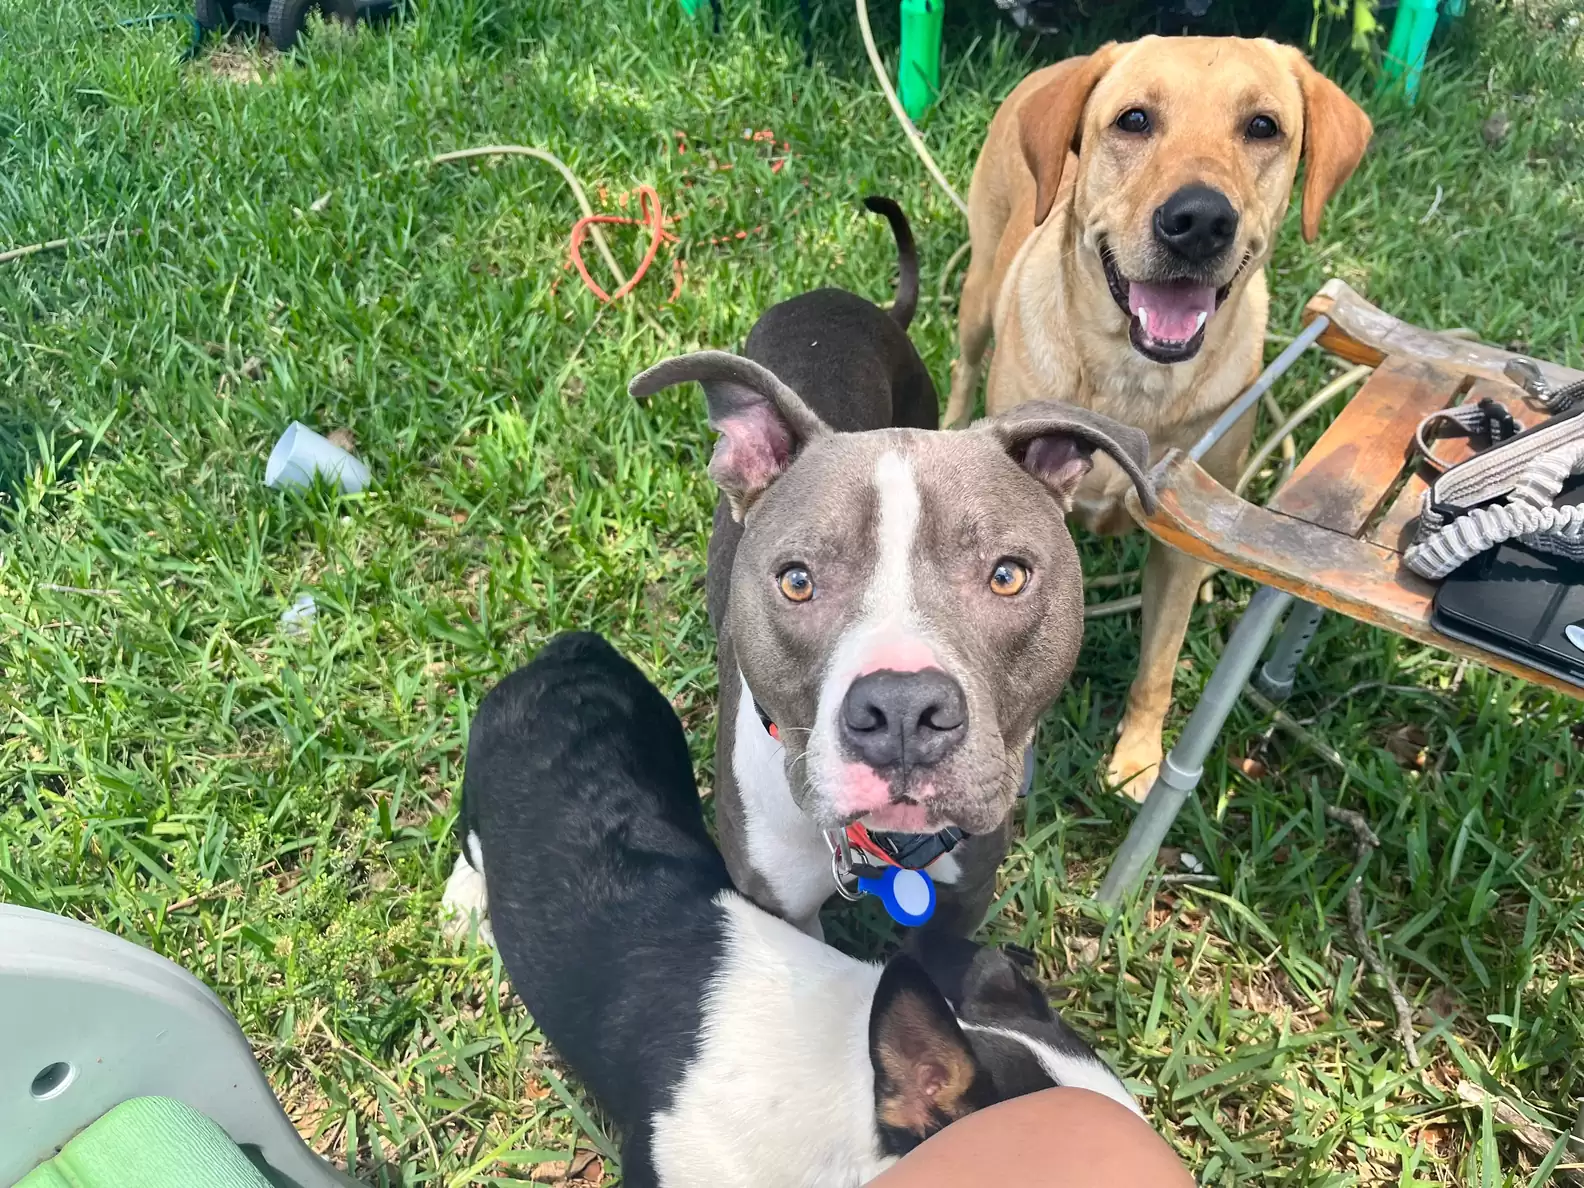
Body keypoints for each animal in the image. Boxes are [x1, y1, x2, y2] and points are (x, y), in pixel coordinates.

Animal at [627, 217, 1153, 937]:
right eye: (797, 581)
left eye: (1007, 576)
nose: (903, 710)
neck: (883, 849)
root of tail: (842, 298)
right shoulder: (778, 908)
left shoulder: (965, 899)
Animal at [937, 37, 1374, 801]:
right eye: (1134, 119)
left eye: (1263, 126)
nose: (1199, 220)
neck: (1132, 382)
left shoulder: (1175, 546)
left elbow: (1160, 666)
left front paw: (1139, 757)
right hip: (979, 290)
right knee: (964, 366)